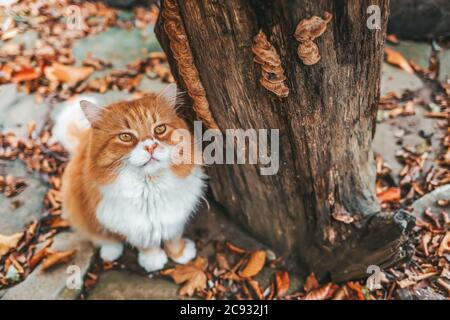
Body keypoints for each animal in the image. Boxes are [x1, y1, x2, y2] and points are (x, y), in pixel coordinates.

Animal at [53, 85, 207, 272]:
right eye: (125, 137)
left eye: (160, 129)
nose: (150, 147)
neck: (151, 188)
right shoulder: (133, 226)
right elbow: (147, 245)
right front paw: (153, 260)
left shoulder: (175, 217)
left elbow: (173, 238)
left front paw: (180, 253)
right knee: (102, 237)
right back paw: (111, 251)